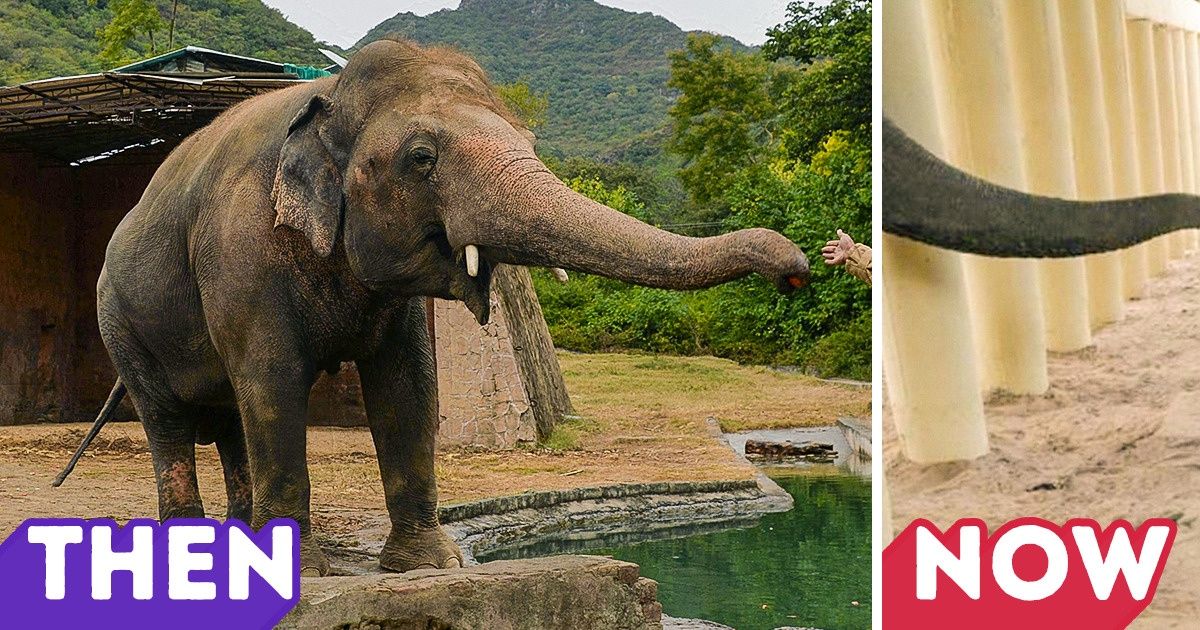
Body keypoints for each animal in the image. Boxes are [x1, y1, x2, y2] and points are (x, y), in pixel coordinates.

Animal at [52, 37, 810, 576]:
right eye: (421, 158)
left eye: (529, 143)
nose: (796, 269)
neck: (324, 98)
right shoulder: (240, 254)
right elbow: (273, 383)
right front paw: (300, 573)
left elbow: (408, 386)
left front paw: (428, 565)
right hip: (120, 320)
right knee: (173, 418)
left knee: (227, 420)